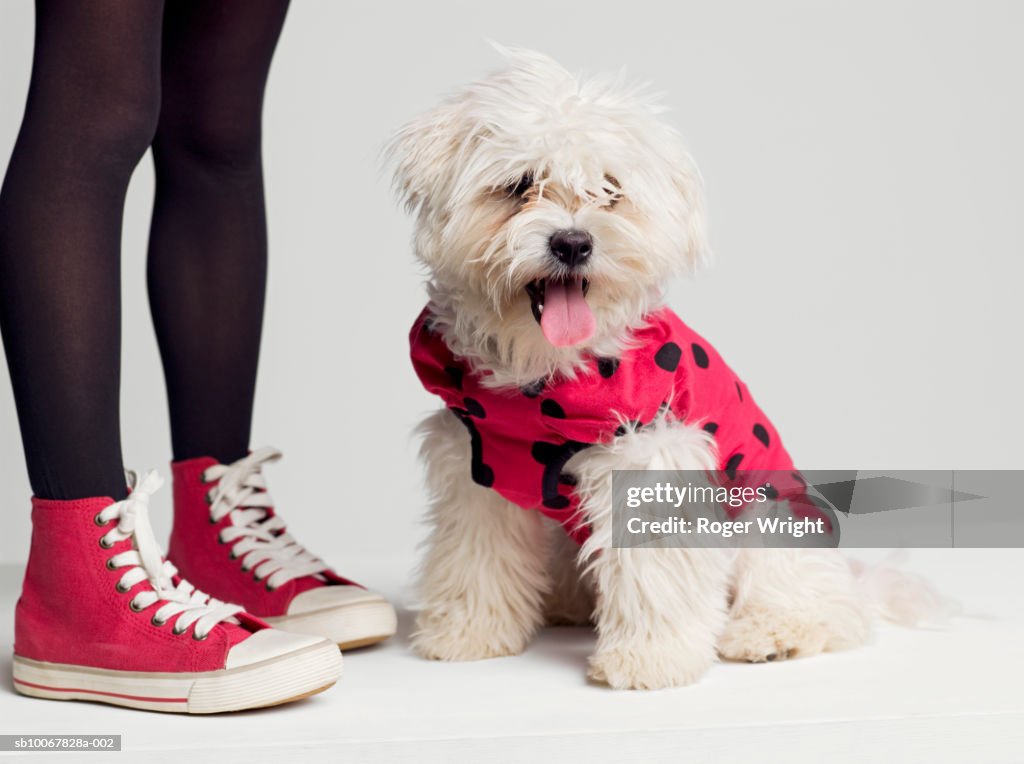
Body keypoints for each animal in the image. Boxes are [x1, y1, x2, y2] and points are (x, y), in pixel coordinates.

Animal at [387, 49, 937, 692]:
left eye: (610, 190)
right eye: (520, 185)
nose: (572, 243)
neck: (546, 374)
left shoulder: (651, 458)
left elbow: (653, 569)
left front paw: (648, 659)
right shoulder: (476, 464)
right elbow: (475, 556)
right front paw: (469, 633)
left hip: (770, 514)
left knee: (820, 605)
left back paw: (774, 632)